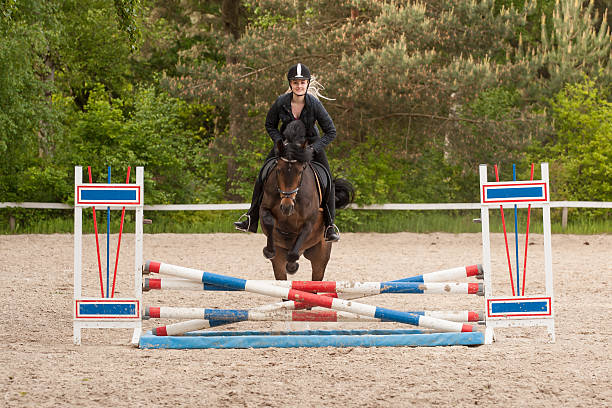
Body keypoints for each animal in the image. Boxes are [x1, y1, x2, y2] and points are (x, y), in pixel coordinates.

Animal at [258, 118, 354, 280]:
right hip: (280, 260)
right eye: (278, 170)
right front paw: (268, 251)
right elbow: (269, 221)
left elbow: (297, 244)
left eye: (300, 170)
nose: (286, 207)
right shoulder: (265, 208)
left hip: (320, 257)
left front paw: (292, 262)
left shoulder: (310, 221)